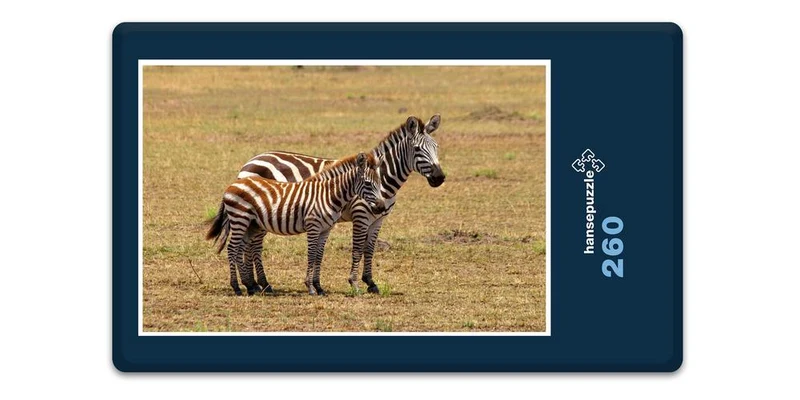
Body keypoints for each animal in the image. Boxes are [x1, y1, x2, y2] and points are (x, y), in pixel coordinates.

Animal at [206, 152, 386, 296]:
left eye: (379, 182)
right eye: (368, 183)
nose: (382, 207)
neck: (328, 194)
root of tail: (233, 184)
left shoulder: (325, 229)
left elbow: (319, 256)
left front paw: (319, 287)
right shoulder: (313, 226)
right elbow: (311, 255)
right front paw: (310, 287)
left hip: (250, 224)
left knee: (240, 249)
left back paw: (250, 287)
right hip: (240, 218)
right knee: (232, 248)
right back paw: (237, 287)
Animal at [237, 115, 445, 294]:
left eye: (436, 147)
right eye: (417, 149)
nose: (440, 178)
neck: (383, 178)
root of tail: (251, 161)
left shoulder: (378, 219)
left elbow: (370, 249)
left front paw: (371, 283)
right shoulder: (361, 215)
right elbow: (357, 249)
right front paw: (354, 282)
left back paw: (256, 284)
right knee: (254, 245)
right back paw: (259, 284)